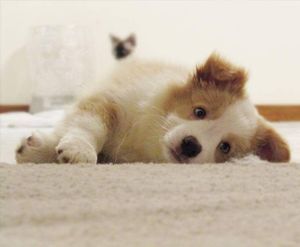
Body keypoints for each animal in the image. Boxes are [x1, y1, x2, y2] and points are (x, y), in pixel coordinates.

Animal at [16, 54, 290, 164]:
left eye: (225, 147)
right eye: (199, 111)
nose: (191, 145)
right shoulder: (109, 99)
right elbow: (89, 126)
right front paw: (78, 150)